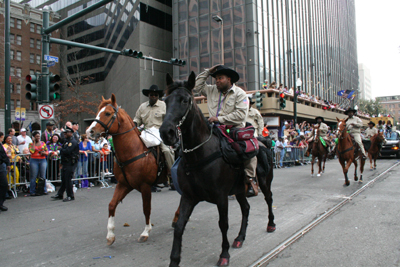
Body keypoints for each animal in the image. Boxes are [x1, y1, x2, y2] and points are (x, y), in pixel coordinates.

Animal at [87, 94, 167, 247]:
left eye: (107, 113)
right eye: (98, 112)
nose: (90, 132)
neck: (134, 151)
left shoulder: (145, 186)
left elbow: (146, 208)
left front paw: (145, 232)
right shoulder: (124, 184)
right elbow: (112, 205)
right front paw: (110, 235)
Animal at [159, 73, 276, 267]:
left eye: (185, 100)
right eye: (166, 100)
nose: (165, 132)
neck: (198, 154)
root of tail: (264, 142)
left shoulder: (221, 197)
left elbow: (223, 224)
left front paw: (224, 254)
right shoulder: (188, 197)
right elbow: (180, 226)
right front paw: (174, 260)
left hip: (265, 182)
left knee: (269, 199)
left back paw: (271, 224)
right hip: (240, 190)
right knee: (246, 208)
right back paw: (240, 238)